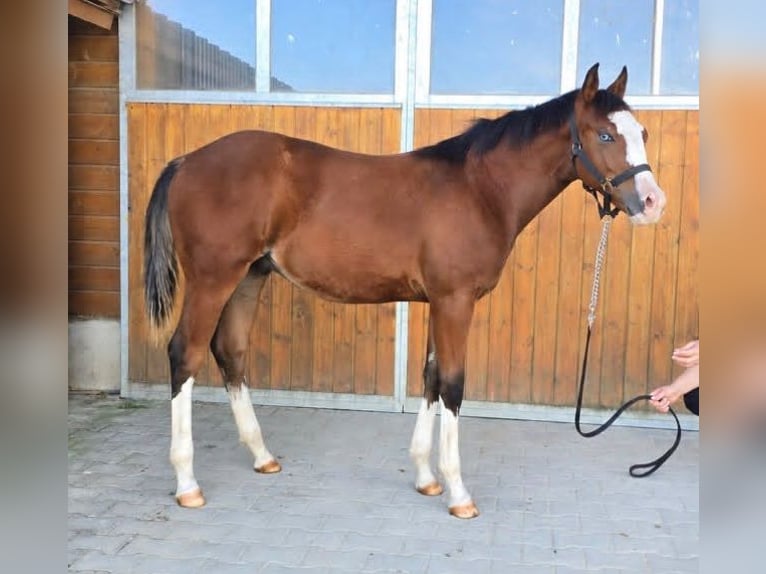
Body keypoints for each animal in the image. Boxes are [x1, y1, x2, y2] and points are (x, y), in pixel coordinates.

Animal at [143, 63, 666, 519]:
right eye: (605, 135)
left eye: (642, 133)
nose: (652, 203)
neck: (480, 189)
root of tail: (187, 161)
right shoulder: (455, 301)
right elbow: (453, 384)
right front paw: (458, 493)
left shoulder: (439, 301)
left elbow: (431, 378)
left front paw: (426, 477)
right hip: (214, 278)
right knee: (184, 353)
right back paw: (187, 483)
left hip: (251, 275)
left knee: (229, 351)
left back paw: (262, 455)